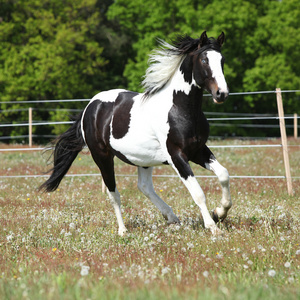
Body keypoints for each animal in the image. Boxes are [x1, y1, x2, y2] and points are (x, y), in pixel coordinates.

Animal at [39, 31, 232, 237]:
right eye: (204, 60)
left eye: (222, 60)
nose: (221, 93)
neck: (180, 109)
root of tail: (90, 106)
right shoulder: (177, 155)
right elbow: (198, 192)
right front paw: (212, 226)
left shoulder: (198, 150)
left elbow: (223, 174)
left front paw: (219, 213)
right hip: (102, 157)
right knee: (113, 193)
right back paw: (123, 230)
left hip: (144, 159)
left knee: (144, 186)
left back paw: (171, 218)